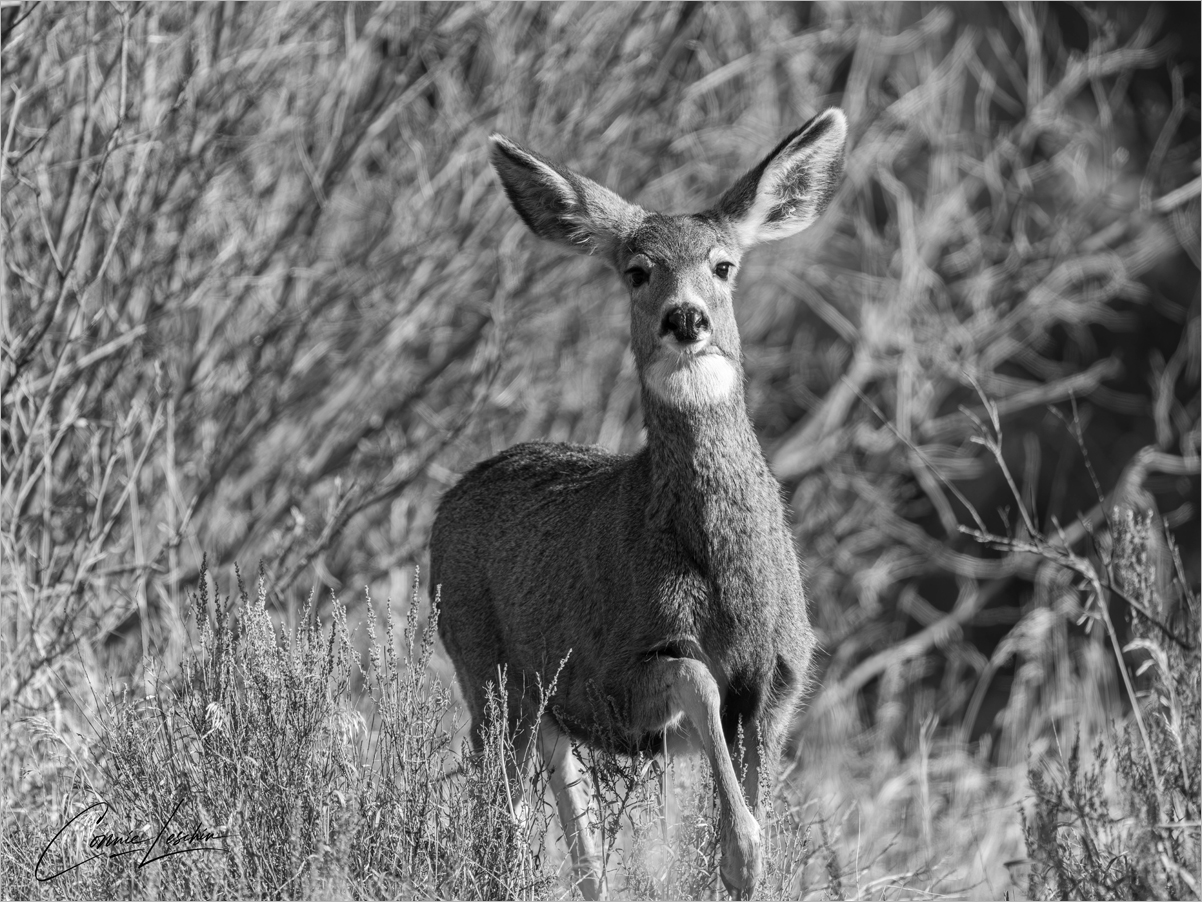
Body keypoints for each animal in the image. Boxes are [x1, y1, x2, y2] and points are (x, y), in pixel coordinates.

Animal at [430, 108, 847, 900]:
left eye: (724, 265)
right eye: (637, 270)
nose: (686, 319)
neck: (724, 578)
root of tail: (444, 506)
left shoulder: (779, 681)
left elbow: (749, 809)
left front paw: (745, 863)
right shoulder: (624, 669)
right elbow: (698, 686)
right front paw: (739, 852)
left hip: (542, 706)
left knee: (576, 842)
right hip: (488, 672)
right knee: (495, 818)